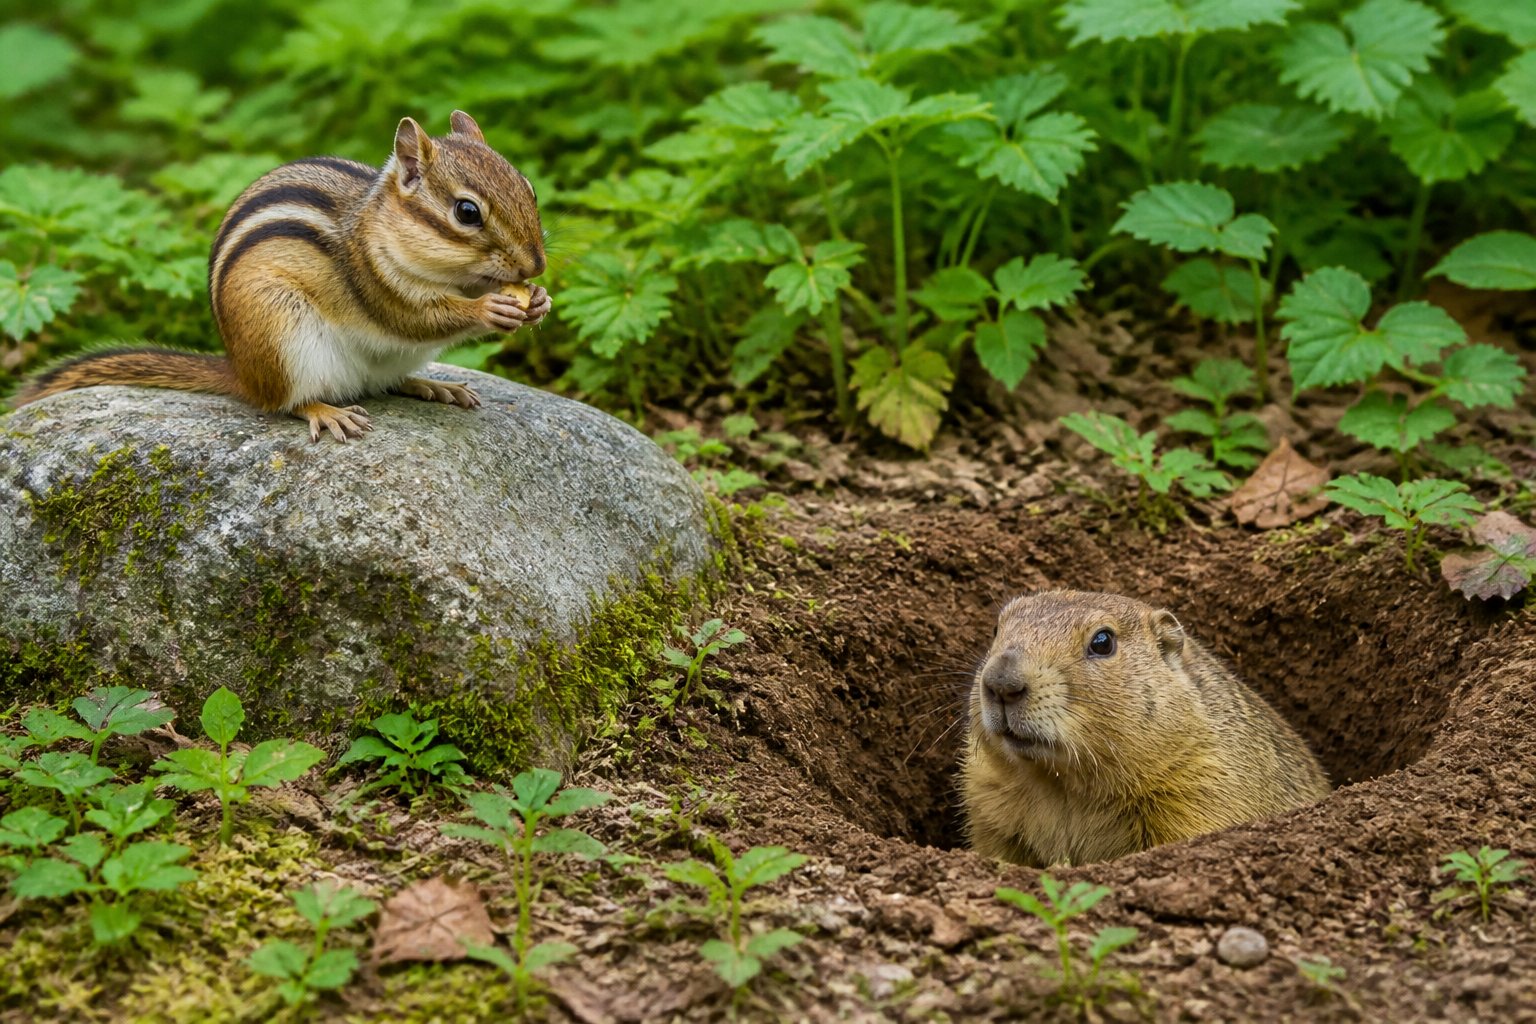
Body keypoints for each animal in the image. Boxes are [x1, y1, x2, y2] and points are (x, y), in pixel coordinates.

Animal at [11, 110, 549, 442]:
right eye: (466, 212)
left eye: (530, 189)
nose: (537, 266)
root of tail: (242, 372)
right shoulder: (372, 279)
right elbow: (416, 317)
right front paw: (490, 307)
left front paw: (537, 300)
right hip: (281, 335)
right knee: (286, 402)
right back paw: (326, 411)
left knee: (386, 382)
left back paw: (433, 386)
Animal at [962, 590, 1331, 867]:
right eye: (995, 629)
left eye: (1102, 641)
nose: (1001, 683)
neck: (1059, 784)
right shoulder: (989, 800)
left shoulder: (1203, 785)